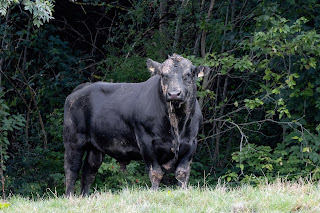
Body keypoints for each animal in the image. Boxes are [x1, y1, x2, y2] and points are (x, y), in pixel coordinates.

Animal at [63, 54, 209, 196]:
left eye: (188, 74)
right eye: (163, 75)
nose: (174, 94)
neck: (176, 125)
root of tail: (80, 89)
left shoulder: (191, 142)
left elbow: (182, 173)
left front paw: (183, 191)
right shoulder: (146, 142)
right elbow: (156, 172)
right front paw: (153, 193)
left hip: (95, 147)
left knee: (89, 171)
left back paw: (84, 197)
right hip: (74, 141)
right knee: (72, 170)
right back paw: (70, 197)